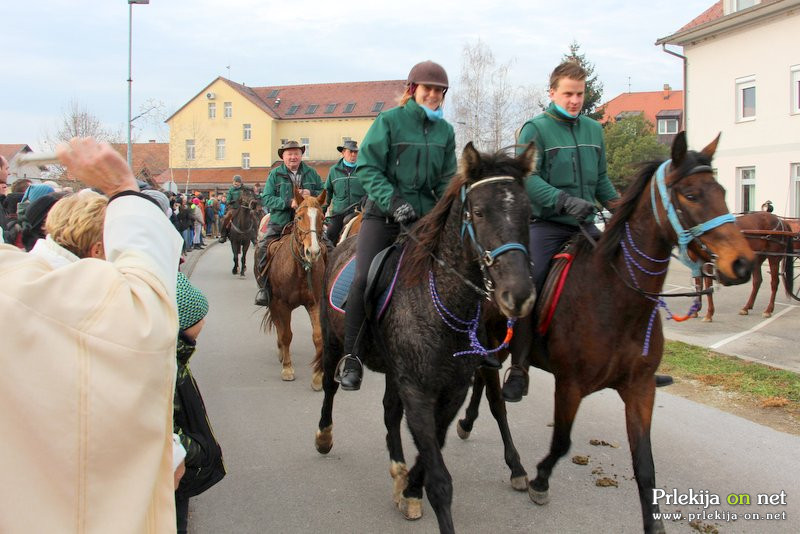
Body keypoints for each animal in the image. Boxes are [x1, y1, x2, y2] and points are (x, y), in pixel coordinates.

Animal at [260, 189, 326, 390]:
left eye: (322, 218)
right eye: (299, 217)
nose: (313, 252)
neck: (300, 268)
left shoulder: (315, 303)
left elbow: (318, 337)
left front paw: (317, 376)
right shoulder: (281, 304)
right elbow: (286, 334)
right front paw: (287, 369)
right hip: (273, 304)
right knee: (279, 328)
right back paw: (282, 354)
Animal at [494, 132, 752, 532]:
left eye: (723, 190)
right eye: (691, 195)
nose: (742, 264)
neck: (615, 297)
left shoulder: (640, 388)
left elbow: (645, 464)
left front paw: (654, 523)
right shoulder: (570, 385)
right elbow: (562, 443)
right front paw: (539, 480)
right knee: (496, 404)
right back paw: (514, 463)